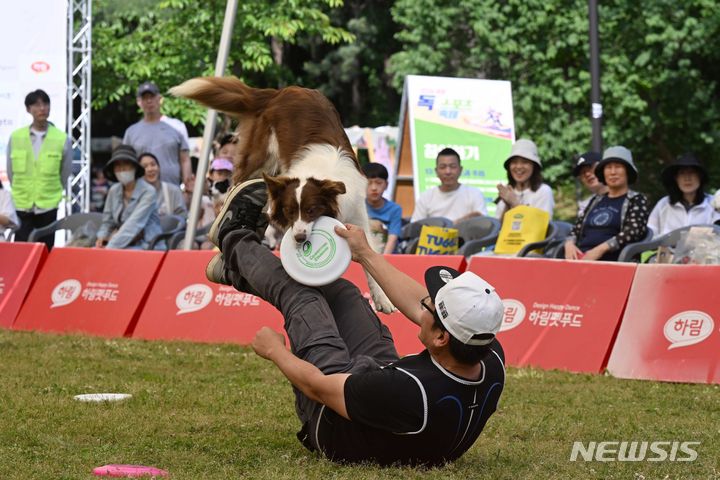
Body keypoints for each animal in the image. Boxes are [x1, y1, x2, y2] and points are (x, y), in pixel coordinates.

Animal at [170, 77, 394, 314]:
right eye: (289, 211)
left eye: (312, 210)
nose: (300, 239)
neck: (320, 173)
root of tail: (282, 92)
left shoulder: (357, 215)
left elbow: (369, 254)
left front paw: (382, 298)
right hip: (261, 156)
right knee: (237, 179)